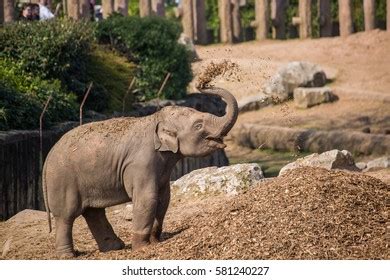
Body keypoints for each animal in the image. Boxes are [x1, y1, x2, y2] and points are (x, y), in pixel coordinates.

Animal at [42, 86, 238, 258]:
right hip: (63, 179)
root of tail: (48, 155)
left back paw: (115, 247)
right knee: (67, 215)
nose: (203, 84)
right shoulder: (141, 163)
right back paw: (68, 255)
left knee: (93, 212)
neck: (154, 119)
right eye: (198, 125)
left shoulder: (161, 167)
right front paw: (142, 248)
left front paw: (155, 241)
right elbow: (147, 198)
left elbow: (164, 198)